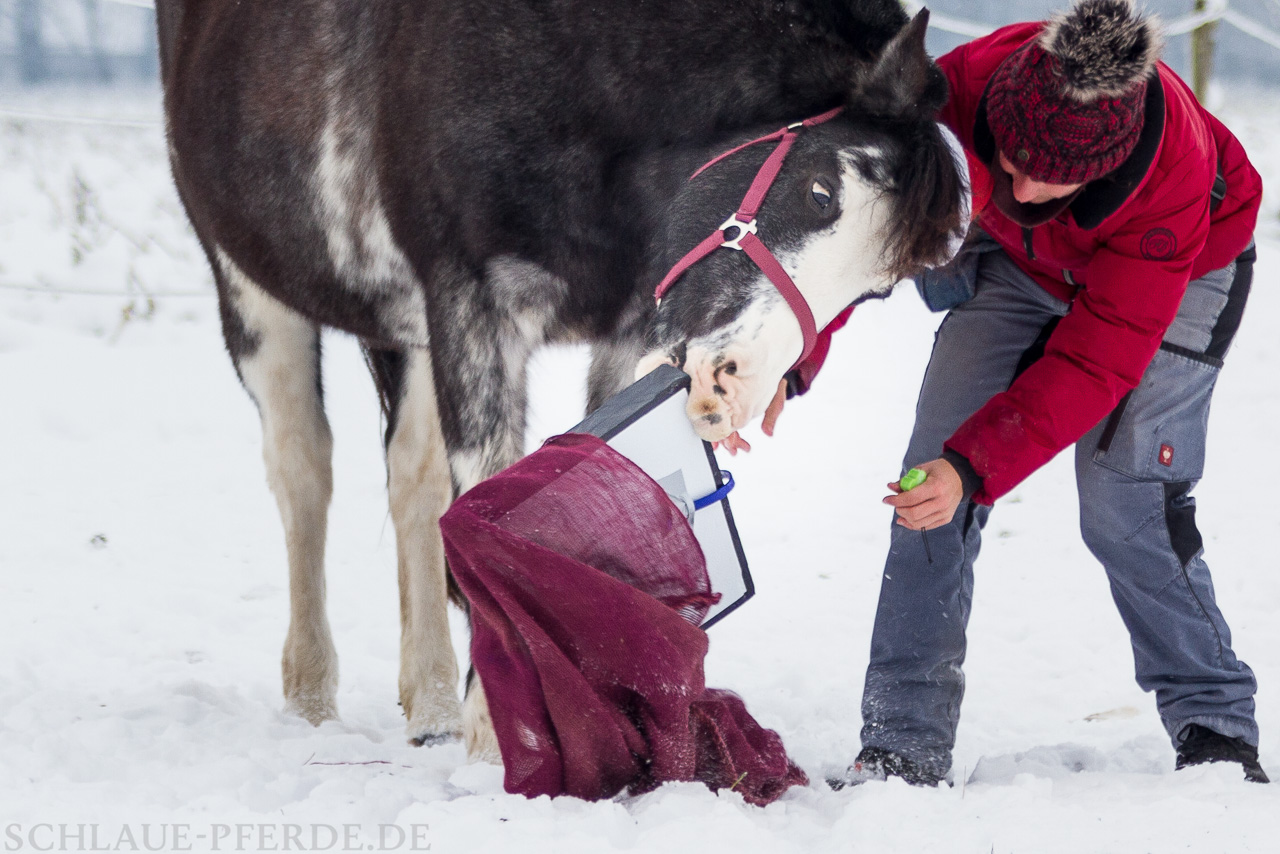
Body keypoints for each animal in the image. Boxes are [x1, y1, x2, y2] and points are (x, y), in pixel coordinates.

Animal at [155, 0, 966, 758]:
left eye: (876, 291)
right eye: (820, 192)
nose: (728, 390)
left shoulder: (627, 323)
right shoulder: (472, 306)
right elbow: (484, 482)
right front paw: (501, 732)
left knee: (410, 482)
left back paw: (432, 707)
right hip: (254, 291)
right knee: (303, 470)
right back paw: (313, 699)